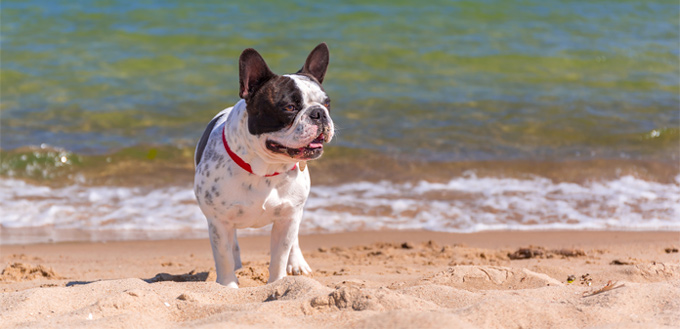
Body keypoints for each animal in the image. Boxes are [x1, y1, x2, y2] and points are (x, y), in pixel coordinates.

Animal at [193, 43, 334, 288]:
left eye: (327, 103)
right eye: (289, 107)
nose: (319, 113)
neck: (265, 169)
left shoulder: (287, 217)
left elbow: (280, 255)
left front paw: (278, 283)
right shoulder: (219, 222)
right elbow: (224, 256)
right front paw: (228, 287)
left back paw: (297, 263)